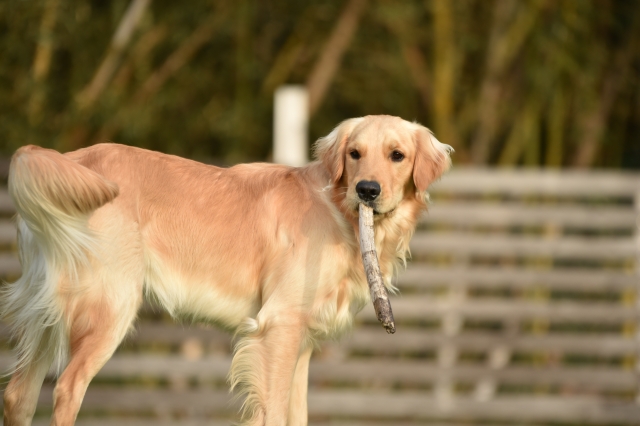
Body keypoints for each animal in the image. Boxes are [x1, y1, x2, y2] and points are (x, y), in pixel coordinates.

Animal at [2, 115, 450, 424]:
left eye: (397, 155)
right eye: (355, 153)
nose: (367, 191)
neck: (336, 208)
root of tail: (66, 159)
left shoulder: (302, 342)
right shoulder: (279, 327)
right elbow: (273, 413)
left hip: (48, 313)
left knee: (18, 396)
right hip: (110, 305)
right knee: (66, 388)